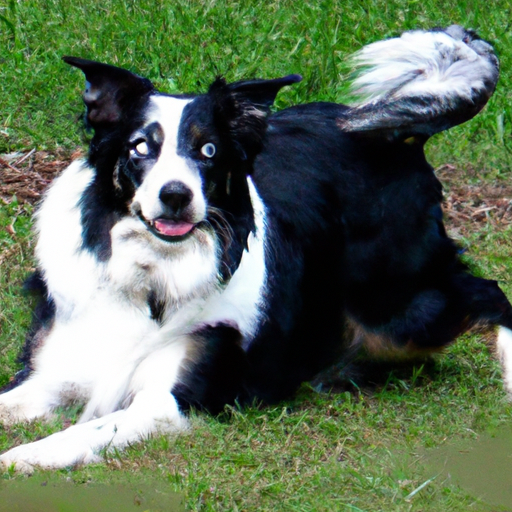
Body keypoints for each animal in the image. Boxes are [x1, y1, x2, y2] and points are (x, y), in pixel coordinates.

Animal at [1, 25, 512, 472]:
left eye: (208, 151)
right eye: (140, 147)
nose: (176, 195)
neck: (149, 275)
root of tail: (399, 138)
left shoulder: (171, 398)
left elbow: (85, 431)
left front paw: (25, 456)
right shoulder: (51, 373)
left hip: (397, 308)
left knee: (488, 293)